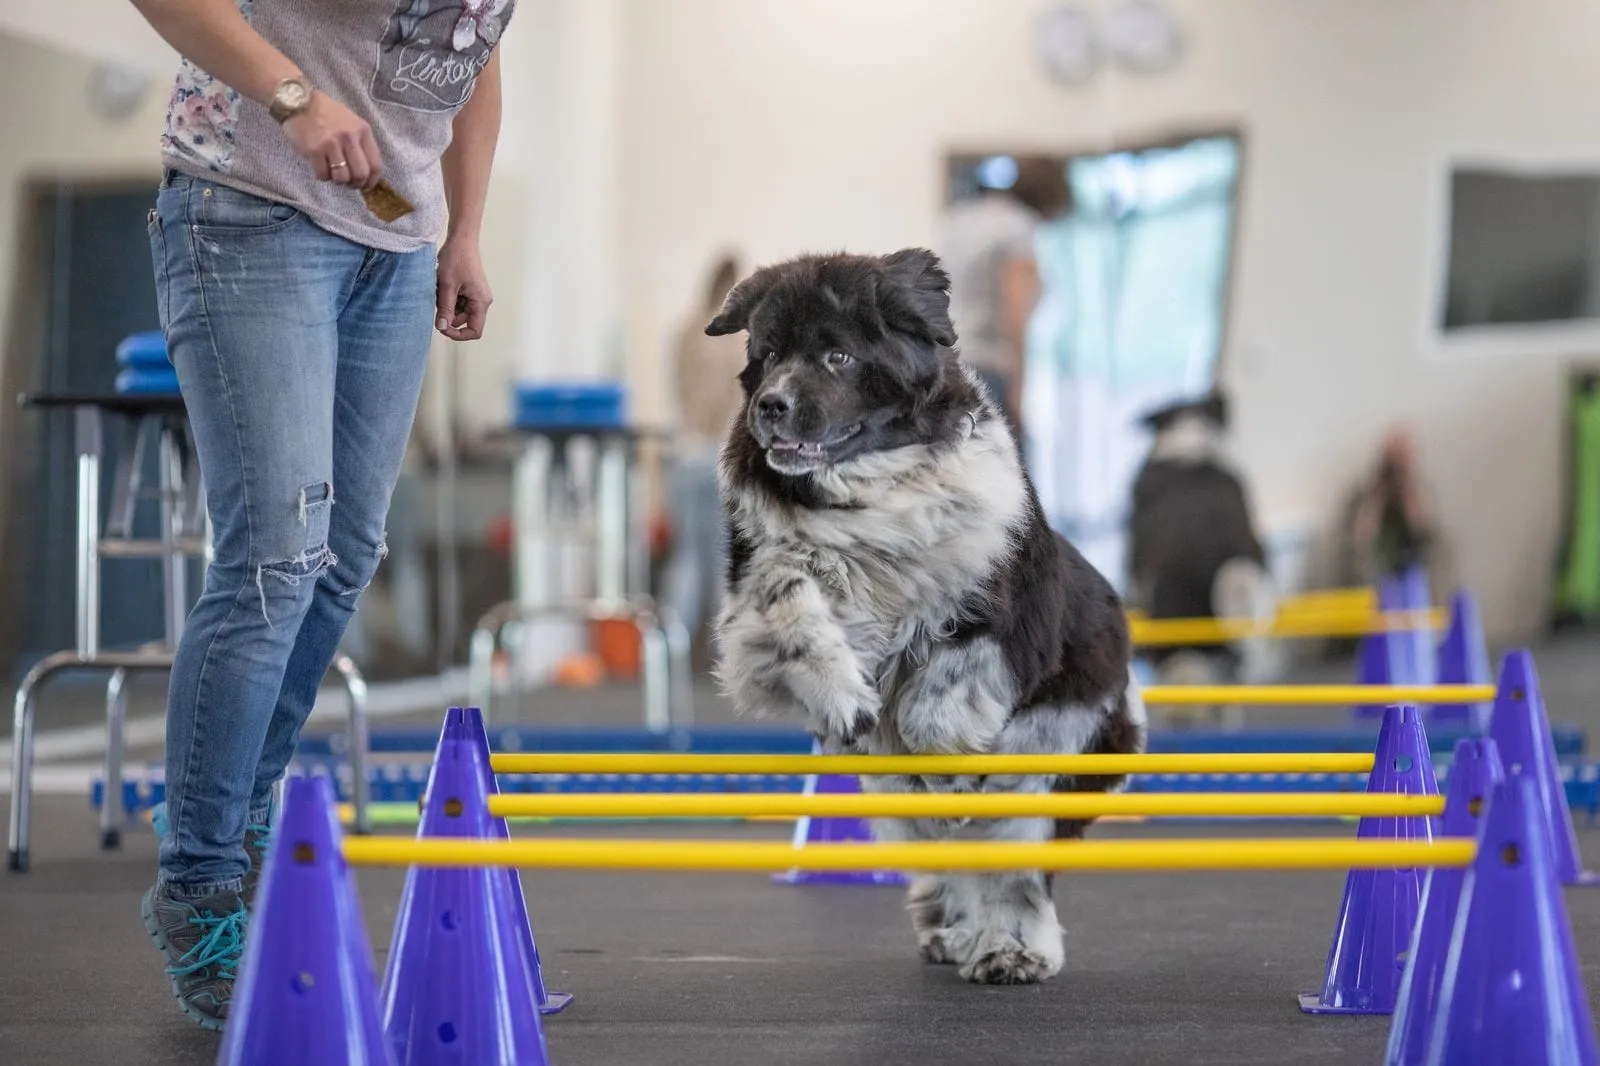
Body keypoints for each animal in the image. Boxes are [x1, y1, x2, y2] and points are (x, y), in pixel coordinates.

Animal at [707, 246, 1145, 979]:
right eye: (766, 355)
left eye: (837, 357)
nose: (771, 405)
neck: (867, 487)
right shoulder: (759, 582)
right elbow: (793, 606)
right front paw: (844, 699)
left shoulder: (995, 606)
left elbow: (941, 691)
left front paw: (944, 755)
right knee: (944, 848)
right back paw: (953, 931)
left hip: (1050, 753)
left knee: (1011, 863)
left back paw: (1010, 950)